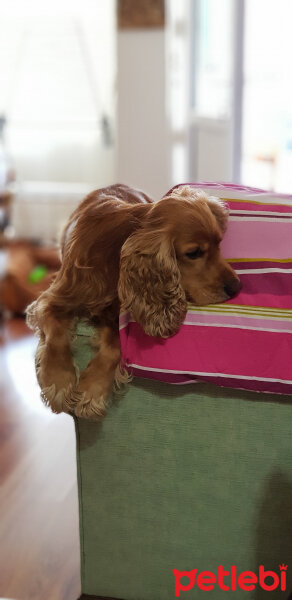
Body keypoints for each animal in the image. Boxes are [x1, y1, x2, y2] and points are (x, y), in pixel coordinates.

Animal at [26, 182, 241, 418]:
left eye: (219, 244)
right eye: (193, 253)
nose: (236, 287)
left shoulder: (116, 316)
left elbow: (114, 347)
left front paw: (91, 391)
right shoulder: (52, 299)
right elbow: (56, 336)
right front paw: (59, 383)